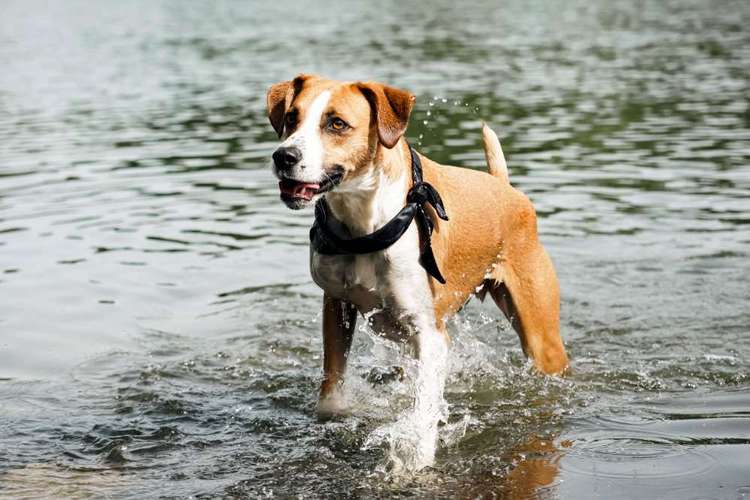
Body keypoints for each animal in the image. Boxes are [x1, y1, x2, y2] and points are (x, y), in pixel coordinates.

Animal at [268, 76, 568, 462]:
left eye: (336, 124)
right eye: (291, 117)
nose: (284, 156)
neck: (364, 221)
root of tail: (506, 188)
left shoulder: (429, 334)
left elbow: (424, 409)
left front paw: (415, 459)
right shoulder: (336, 306)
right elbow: (332, 389)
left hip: (542, 337)